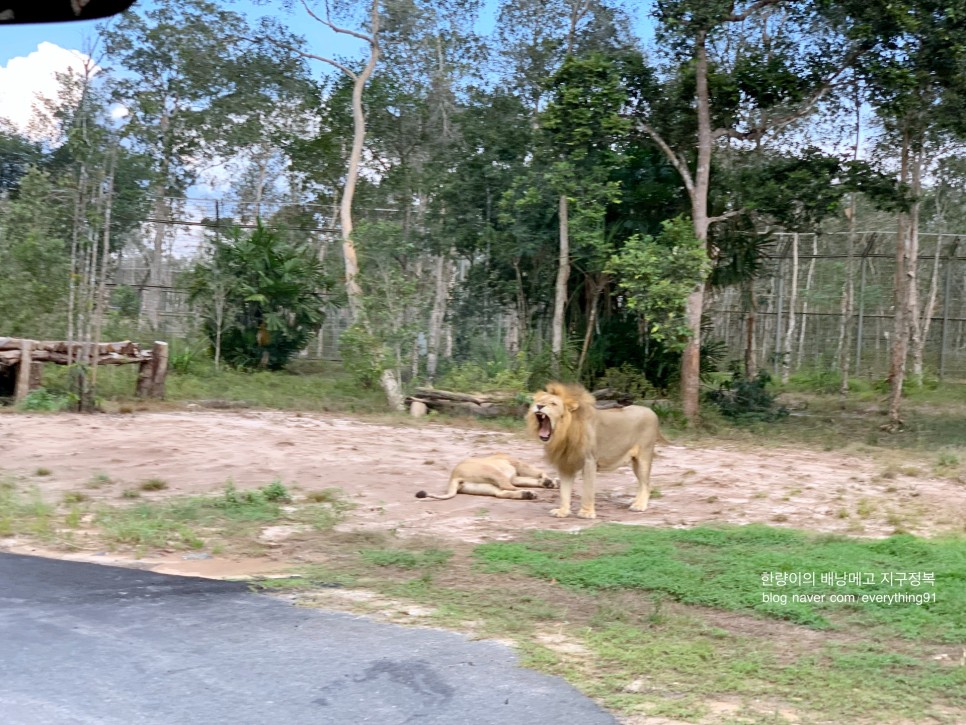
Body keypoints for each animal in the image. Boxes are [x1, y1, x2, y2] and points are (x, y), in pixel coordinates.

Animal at [416, 456, 560, 500]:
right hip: (493, 471)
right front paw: (549, 481)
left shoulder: (514, 477)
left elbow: (531, 479)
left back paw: (527, 494)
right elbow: (537, 472)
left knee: (502, 493)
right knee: (508, 487)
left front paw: (550, 482)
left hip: (486, 487)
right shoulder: (516, 463)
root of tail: (454, 477)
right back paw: (531, 493)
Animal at [528, 382, 664, 516]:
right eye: (539, 401)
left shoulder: (589, 461)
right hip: (635, 461)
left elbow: (588, 489)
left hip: (644, 457)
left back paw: (639, 506)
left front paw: (586, 513)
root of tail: (651, 411)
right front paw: (563, 511)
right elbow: (564, 491)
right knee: (643, 483)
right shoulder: (565, 463)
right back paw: (635, 502)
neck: (564, 431)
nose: (539, 406)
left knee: (646, 483)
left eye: (553, 404)